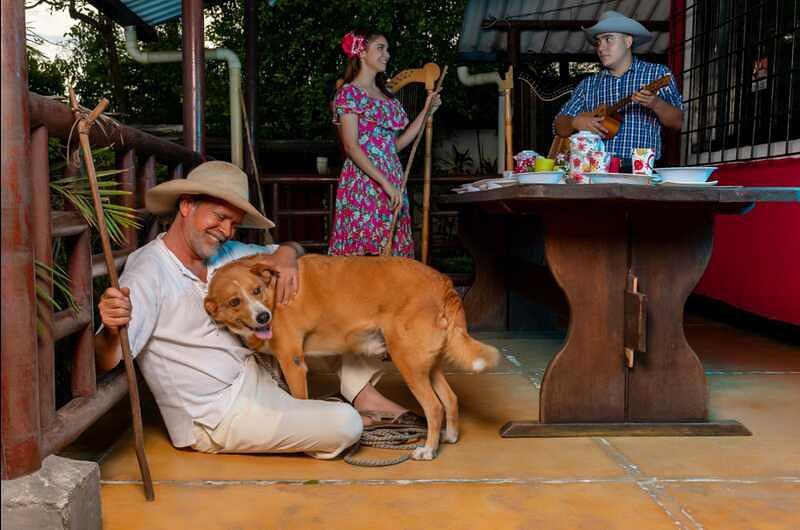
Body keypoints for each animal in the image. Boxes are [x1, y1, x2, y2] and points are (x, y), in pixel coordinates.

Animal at [203, 253, 496, 458]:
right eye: (234, 302)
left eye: (256, 291)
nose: (264, 317)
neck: (274, 292)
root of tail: (443, 282)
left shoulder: (292, 361)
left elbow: (299, 400)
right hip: (426, 363)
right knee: (450, 399)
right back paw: (450, 436)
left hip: (407, 362)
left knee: (434, 407)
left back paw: (428, 450)